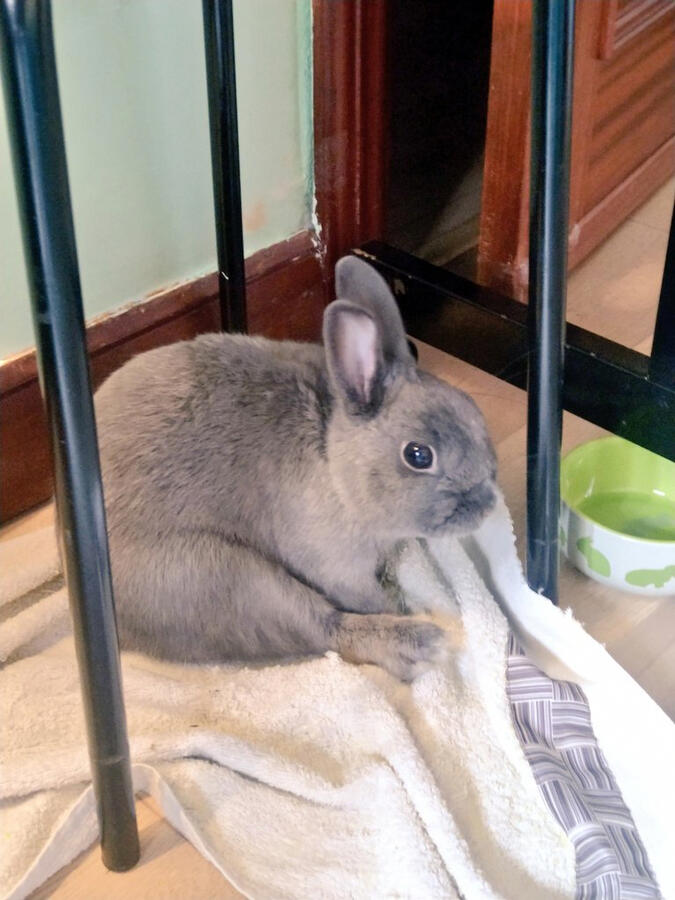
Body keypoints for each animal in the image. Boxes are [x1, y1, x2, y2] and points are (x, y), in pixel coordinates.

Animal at [94, 256, 497, 681]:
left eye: (472, 409)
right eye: (418, 455)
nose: (487, 506)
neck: (338, 464)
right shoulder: (339, 570)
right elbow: (366, 598)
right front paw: (401, 608)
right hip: (230, 578)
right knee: (328, 628)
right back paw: (419, 643)